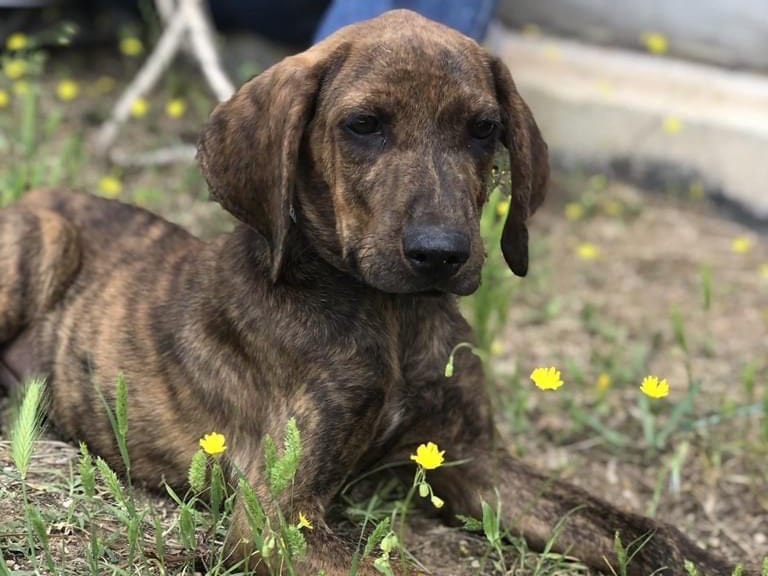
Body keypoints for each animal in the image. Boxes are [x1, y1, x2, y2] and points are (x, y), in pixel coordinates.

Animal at [1, 9, 744, 576]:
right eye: (363, 125)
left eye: (483, 128)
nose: (440, 254)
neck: (389, 314)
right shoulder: (278, 510)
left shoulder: (472, 459)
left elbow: (627, 524)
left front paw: (701, 558)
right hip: (43, 241)